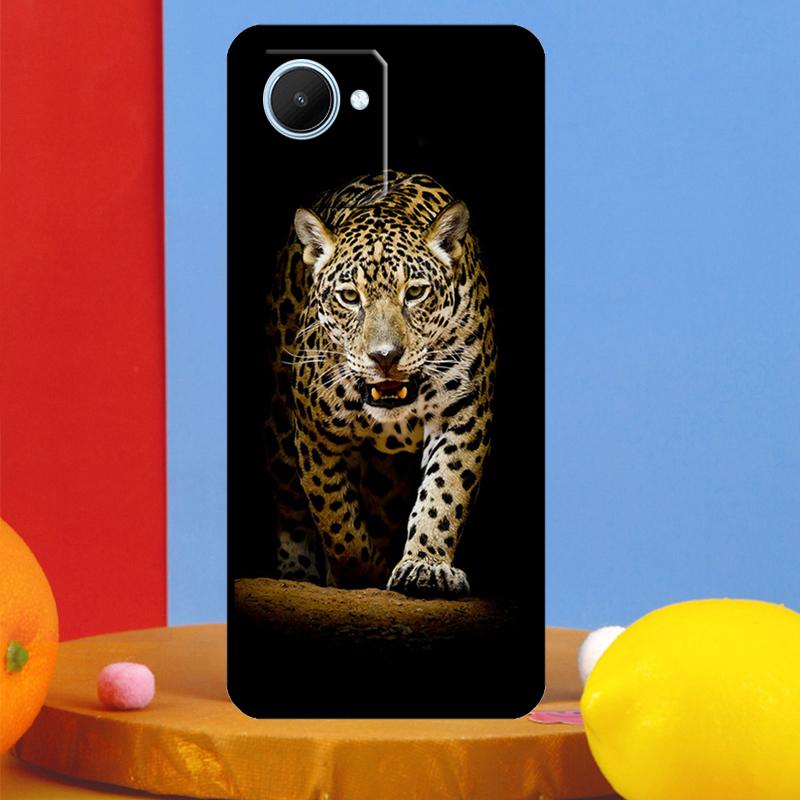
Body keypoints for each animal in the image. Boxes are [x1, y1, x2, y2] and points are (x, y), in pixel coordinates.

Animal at [264, 170, 496, 598]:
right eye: (349, 297)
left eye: (415, 292)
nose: (385, 356)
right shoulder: (315, 433)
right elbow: (335, 514)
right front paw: (358, 572)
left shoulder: (463, 415)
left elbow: (444, 491)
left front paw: (425, 566)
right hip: (278, 429)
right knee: (290, 503)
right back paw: (296, 570)